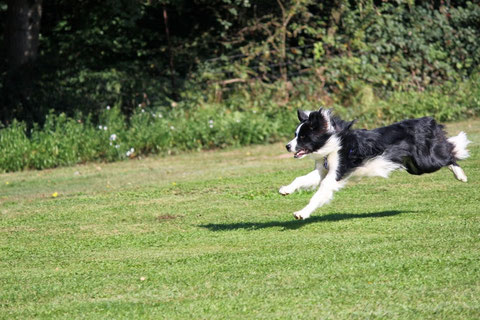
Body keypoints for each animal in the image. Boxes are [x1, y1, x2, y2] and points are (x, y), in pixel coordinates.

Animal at [280, 108, 470, 220]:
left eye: (303, 137)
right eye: (296, 135)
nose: (287, 146)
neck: (331, 143)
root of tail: (428, 121)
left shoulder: (335, 174)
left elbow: (319, 194)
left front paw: (301, 213)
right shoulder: (322, 170)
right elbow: (301, 179)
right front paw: (285, 190)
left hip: (424, 162)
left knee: (450, 155)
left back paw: (461, 175)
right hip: (414, 167)